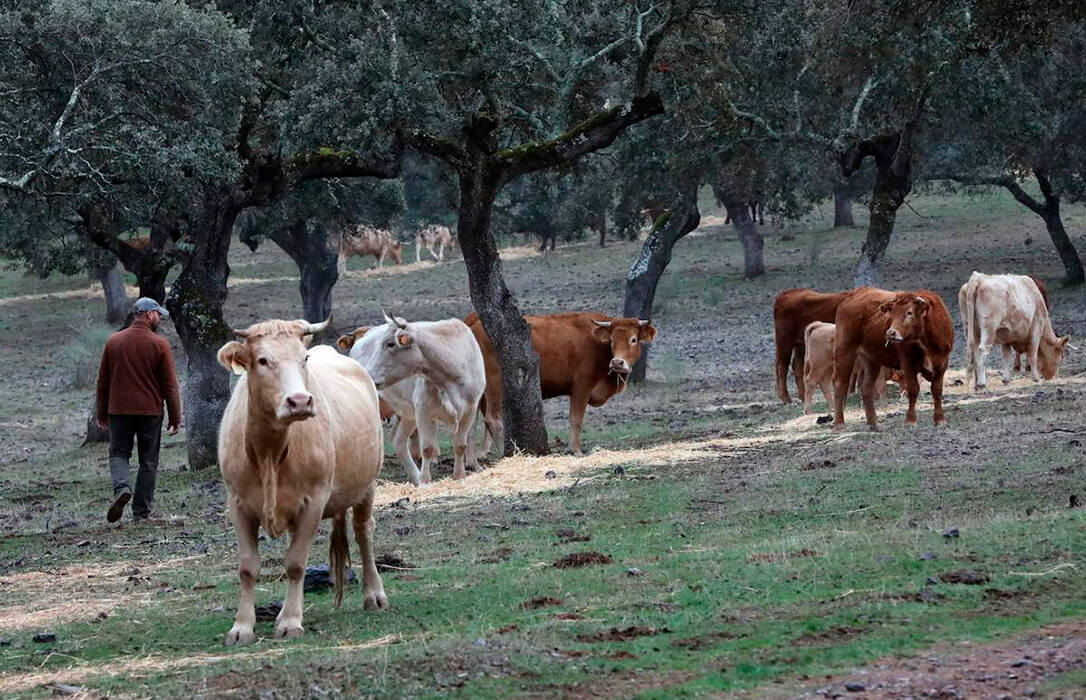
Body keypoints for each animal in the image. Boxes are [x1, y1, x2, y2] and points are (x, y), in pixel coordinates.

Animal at [216, 319, 386, 646]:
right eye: (262, 360)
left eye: (303, 358)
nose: (299, 401)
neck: (269, 452)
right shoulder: (237, 504)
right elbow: (247, 567)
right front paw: (241, 627)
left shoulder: (313, 502)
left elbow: (295, 563)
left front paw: (291, 621)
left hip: (368, 485)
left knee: (363, 533)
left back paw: (374, 595)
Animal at [356, 314, 484, 484]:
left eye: (390, 344)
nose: (368, 374)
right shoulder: (423, 409)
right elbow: (427, 448)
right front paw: (425, 481)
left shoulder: (471, 408)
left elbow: (460, 445)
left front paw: (459, 476)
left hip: (408, 414)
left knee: (399, 440)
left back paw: (415, 476)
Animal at [464, 310, 651, 453]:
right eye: (612, 340)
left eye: (633, 339)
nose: (617, 362)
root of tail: (474, 320)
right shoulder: (581, 386)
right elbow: (576, 420)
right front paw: (576, 450)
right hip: (495, 383)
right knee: (492, 420)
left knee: (469, 425)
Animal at [829, 286, 951, 427]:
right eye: (892, 314)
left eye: (909, 312)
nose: (890, 333)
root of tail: (854, 294)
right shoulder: (908, 364)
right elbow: (913, 389)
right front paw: (910, 420)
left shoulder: (942, 365)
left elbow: (937, 391)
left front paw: (940, 419)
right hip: (844, 350)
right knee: (840, 384)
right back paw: (839, 424)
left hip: (871, 359)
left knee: (866, 387)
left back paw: (874, 423)